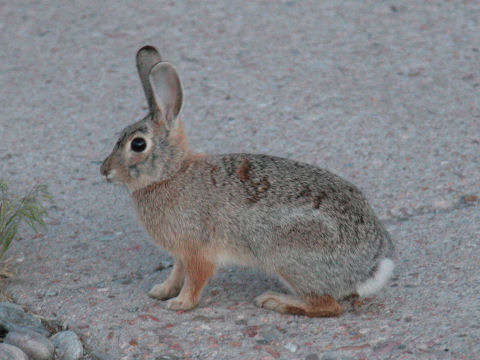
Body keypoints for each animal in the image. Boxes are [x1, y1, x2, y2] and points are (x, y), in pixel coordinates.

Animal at [100, 45, 394, 318]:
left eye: (138, 144)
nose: (104, 171)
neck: (171, 173)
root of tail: (370, 267)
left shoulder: (197, 249)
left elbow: (196, 278)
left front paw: (180, 304)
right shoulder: (180, 251)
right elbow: (177, 271)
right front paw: (162, 291)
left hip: (289, 258)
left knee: (327, 306)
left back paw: (275, 301)